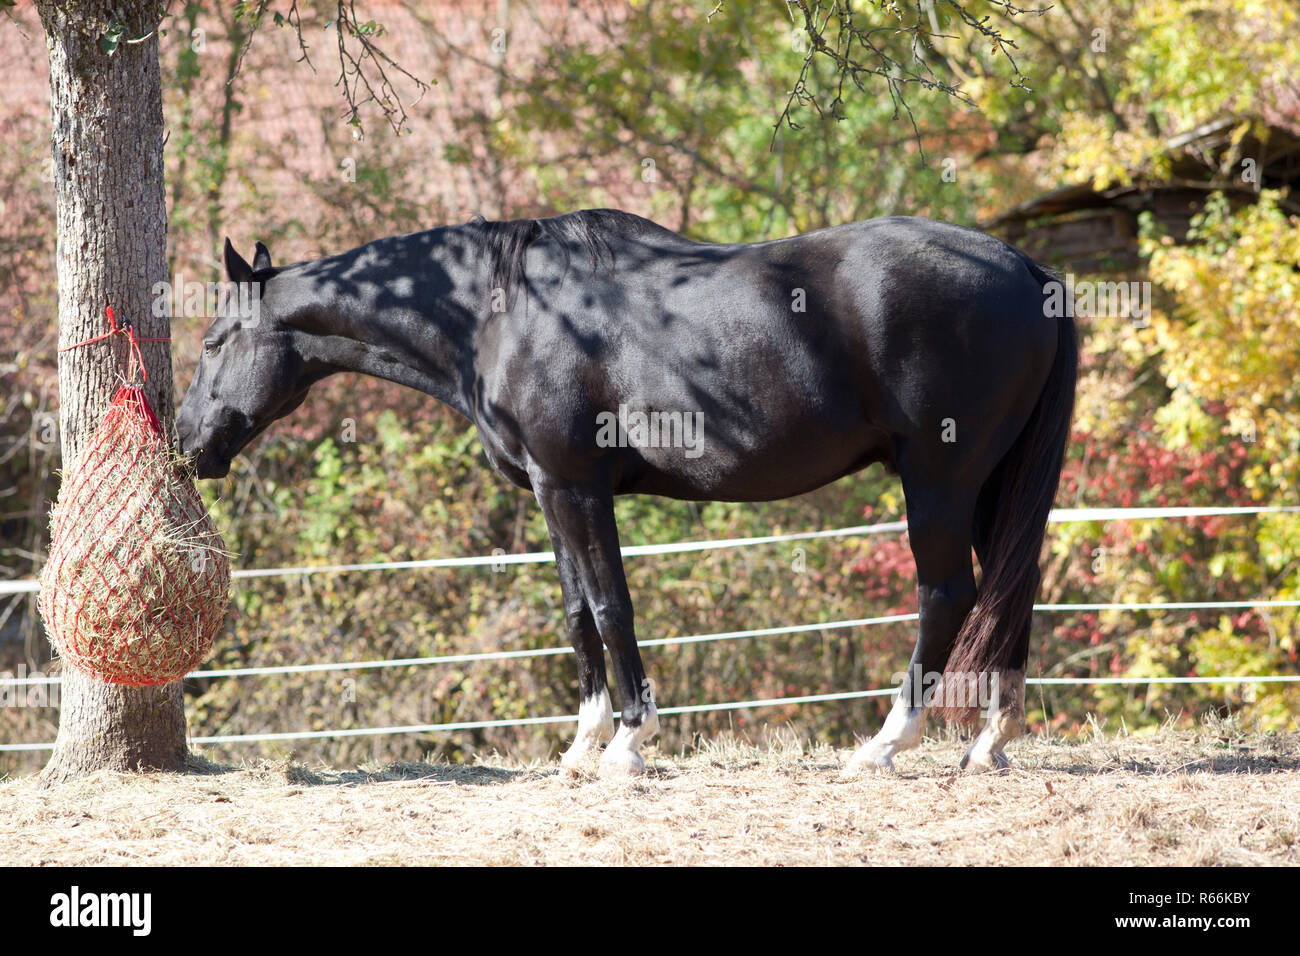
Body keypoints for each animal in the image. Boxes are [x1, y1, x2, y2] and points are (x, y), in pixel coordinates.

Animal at [178, 210, 1081, 780]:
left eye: (216, 340)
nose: (186, 443)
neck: (505, 314)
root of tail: (1026, 268)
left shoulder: (576, 484)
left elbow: (613, 606)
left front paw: (629, 743)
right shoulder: (551, 488)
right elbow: (577, 610)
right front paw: (583, 743)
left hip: (940, 480)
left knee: (948, 594)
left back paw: (885, 745)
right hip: (994, 484)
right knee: (1014, 588)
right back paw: (990, 743)